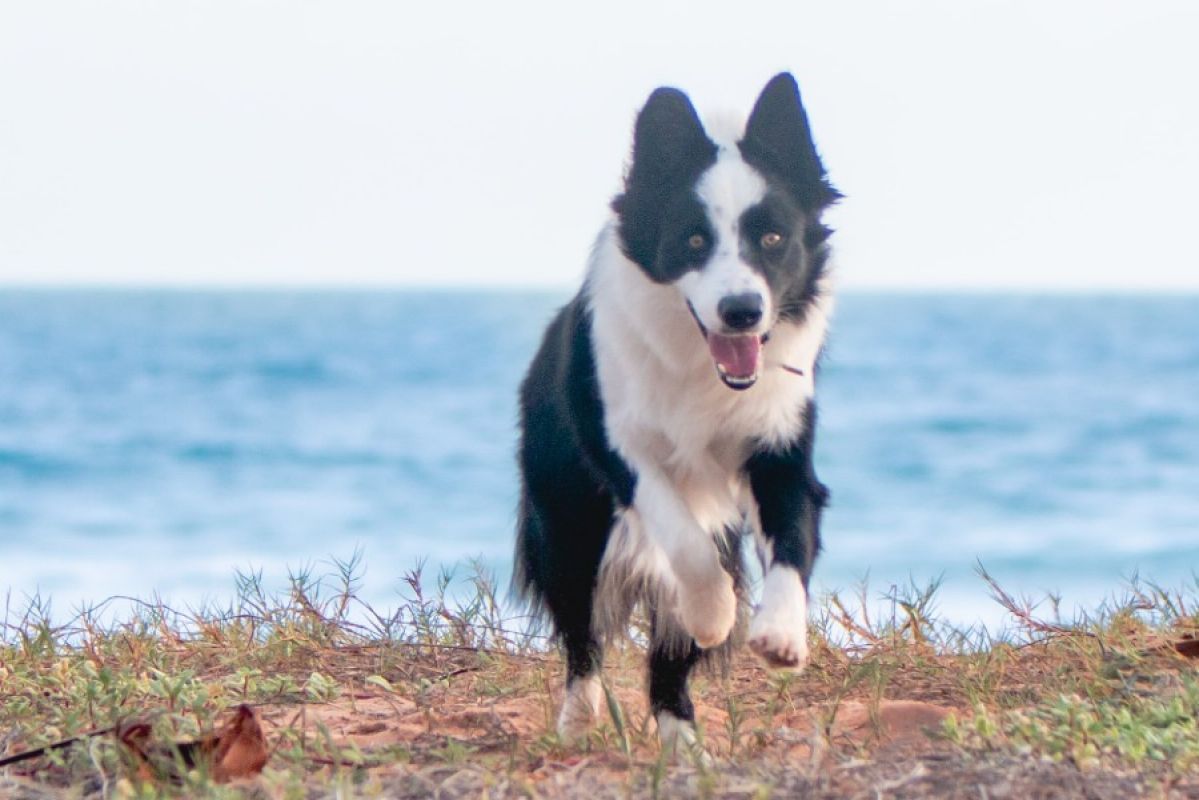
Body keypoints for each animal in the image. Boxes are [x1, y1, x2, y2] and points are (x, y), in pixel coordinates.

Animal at [510, 71, 839, 748]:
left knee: (667, 664)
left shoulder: (781, 447)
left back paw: (683, 743)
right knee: (582, 634)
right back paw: (578, 718)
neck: (702, 365)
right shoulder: (619, 447)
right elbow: (683, 544)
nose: (742, 311)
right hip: (568, 519)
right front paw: (712, 614)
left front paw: (781, 634)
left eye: (772, 238)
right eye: (693, 240)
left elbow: (792, 534)